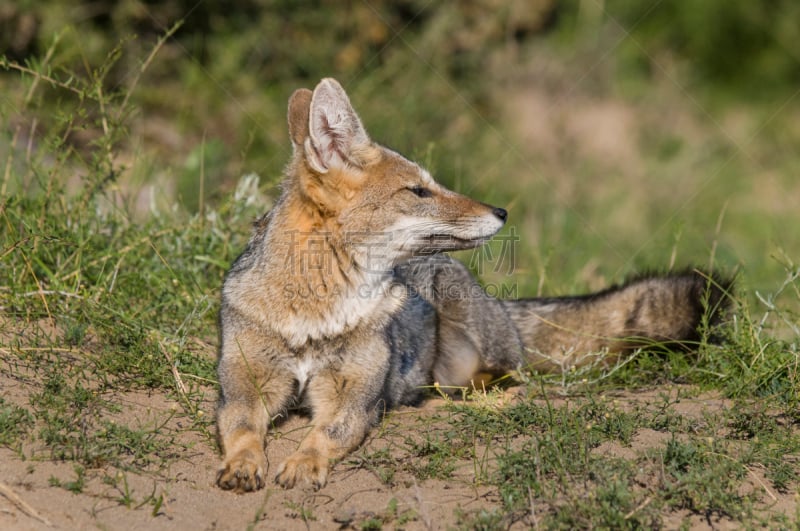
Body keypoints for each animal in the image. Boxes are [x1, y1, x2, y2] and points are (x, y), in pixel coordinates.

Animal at [214, 77, 732, 492]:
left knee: (513, 375)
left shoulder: (355, 397)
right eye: (419, 191)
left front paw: (303, 463)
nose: (501, 211)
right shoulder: (244, 385)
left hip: (466, 317)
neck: (316, 313)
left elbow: (326, 433)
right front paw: (242, 465)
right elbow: (239, 428)